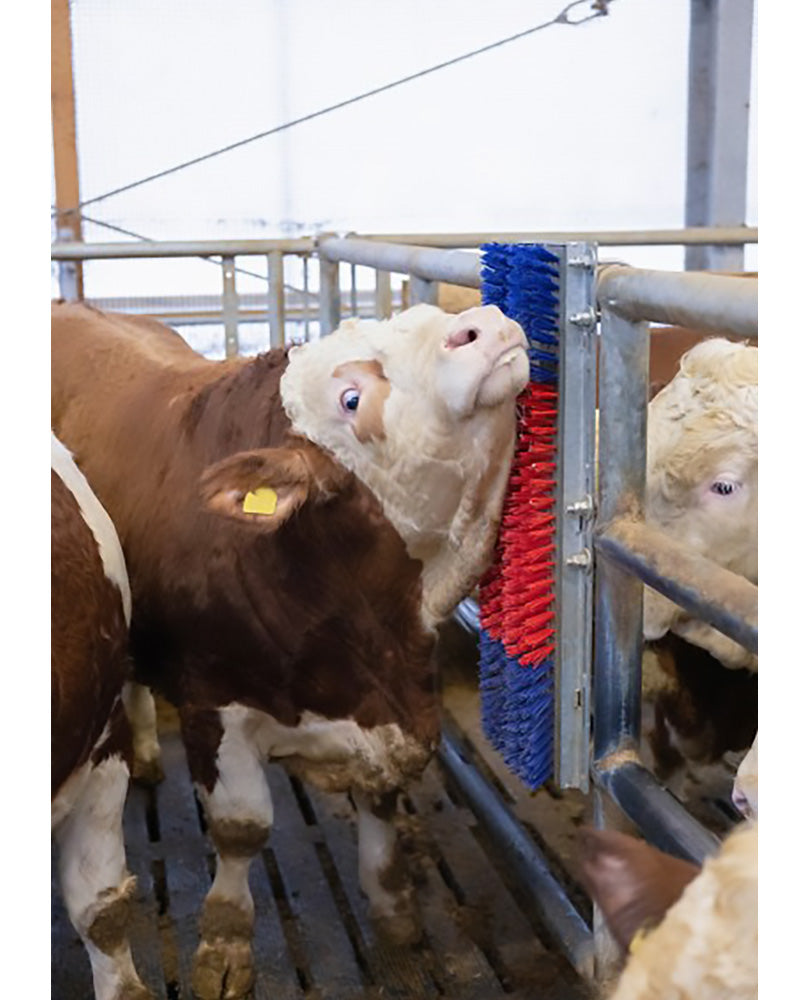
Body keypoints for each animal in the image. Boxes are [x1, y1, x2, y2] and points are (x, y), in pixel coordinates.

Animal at [51, 300, 529, 1000]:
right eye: (352, 398)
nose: (483, 322)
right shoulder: (214, 704)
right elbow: (241, 828)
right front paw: (225, 941)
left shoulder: (392, 712)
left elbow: (381, 800)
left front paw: (394, 909)